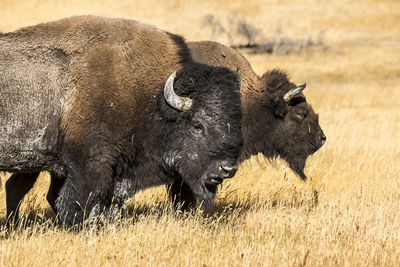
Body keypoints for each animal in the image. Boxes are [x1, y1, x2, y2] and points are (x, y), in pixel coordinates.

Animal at [0, 16, 244, 227]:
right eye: (197, 125)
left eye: (236, 121)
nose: (227, 169)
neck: (150, 98)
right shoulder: (89, 166)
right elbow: (75, 204)